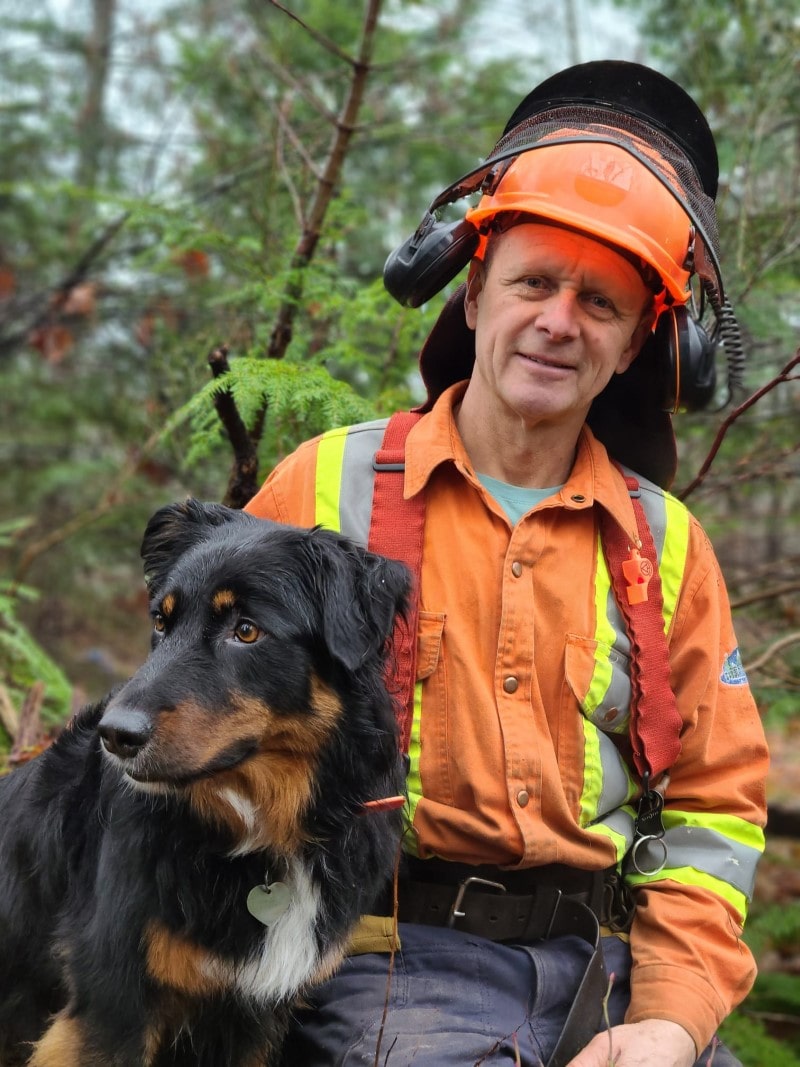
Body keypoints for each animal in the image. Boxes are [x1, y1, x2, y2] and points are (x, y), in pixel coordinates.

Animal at [0, 500, 410, 1067]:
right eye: (160, 621)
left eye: (247, 631)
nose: (115, 735)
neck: (259, 832)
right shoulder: (110, 1005)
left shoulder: (251, 1017)